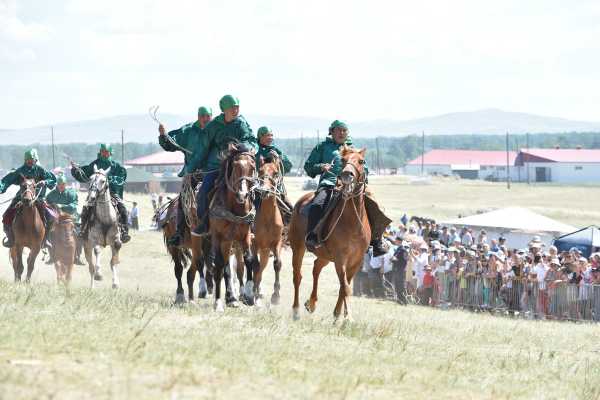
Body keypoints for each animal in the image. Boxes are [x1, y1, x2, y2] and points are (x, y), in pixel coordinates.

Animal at [207, 145, 258, 310]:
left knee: (227, 266)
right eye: (235, 166)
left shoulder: (245, 236)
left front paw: (249, 296)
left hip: (229, 242)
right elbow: (218, 264)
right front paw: (217, 302)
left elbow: (248, 260)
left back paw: (231, 298)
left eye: (252, 167)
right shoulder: (217, 236)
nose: (242, 195)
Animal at [290, 145, 370, 320]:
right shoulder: (340, 259)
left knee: (316, 268)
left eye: (361, 161)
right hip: (298, 247)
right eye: (343, 160)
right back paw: (296, 311)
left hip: (325, 255)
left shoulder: (356, 261)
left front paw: (337, 316)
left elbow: (344, 287)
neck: (353, 224)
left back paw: (311, 303)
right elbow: (345, 287)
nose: (347, 175)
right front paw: (348, 318)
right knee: (297, 276)